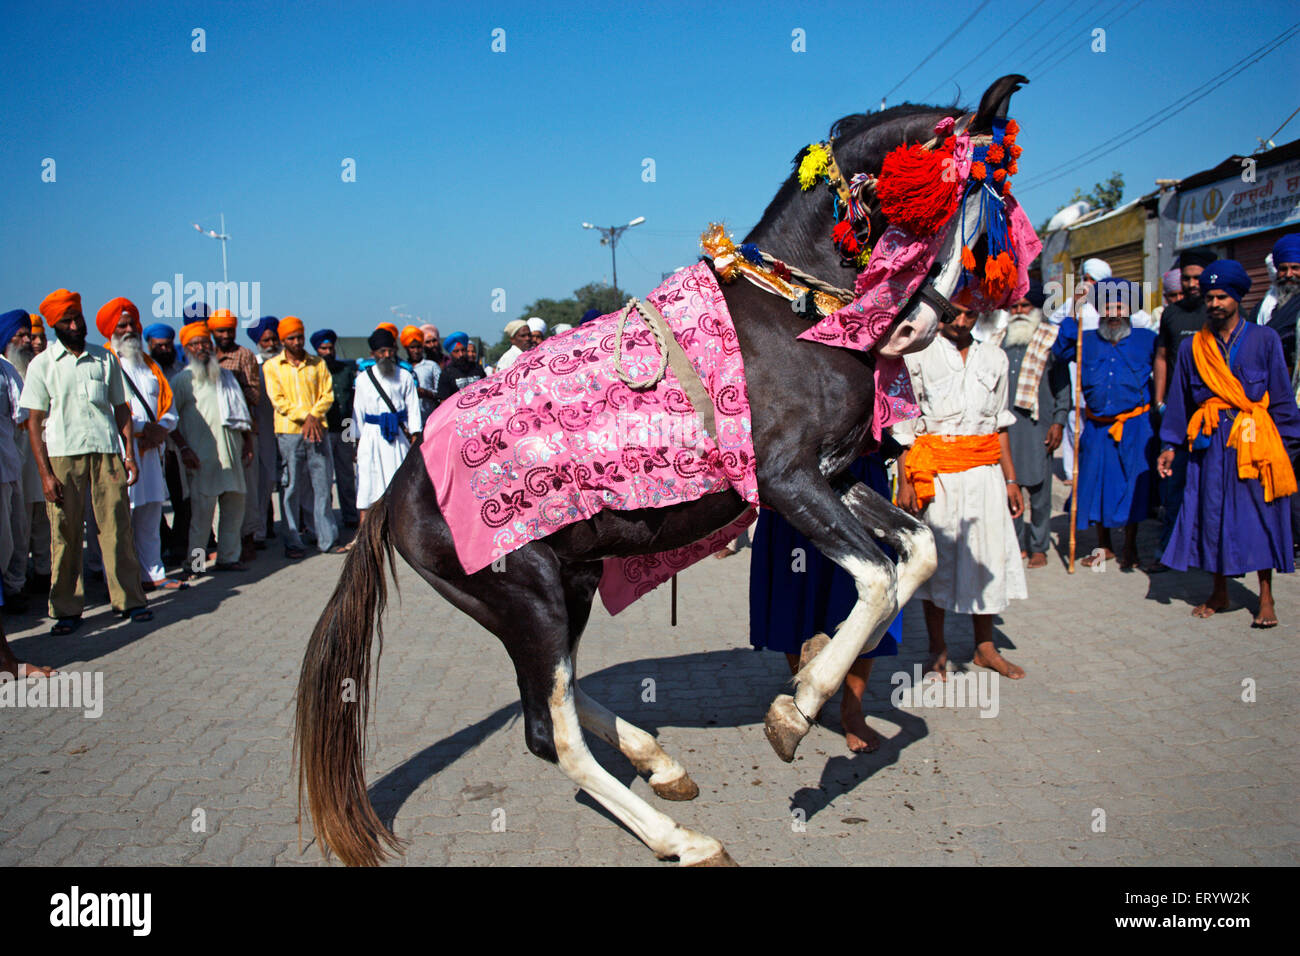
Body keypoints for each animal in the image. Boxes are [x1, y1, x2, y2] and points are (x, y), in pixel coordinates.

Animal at [296, 74, 1030, 866]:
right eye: (956, 208)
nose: (918, 330)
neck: (790, 316)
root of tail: (395, 491)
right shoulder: (787, 483)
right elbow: (879, 580)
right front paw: (797, 709)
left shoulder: (833, 476)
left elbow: (918, 553)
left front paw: (809, 672)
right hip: (526, 598)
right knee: (548, 734)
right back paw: (685, 837)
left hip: (566, 588)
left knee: (562, 694)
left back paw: (659, 760)